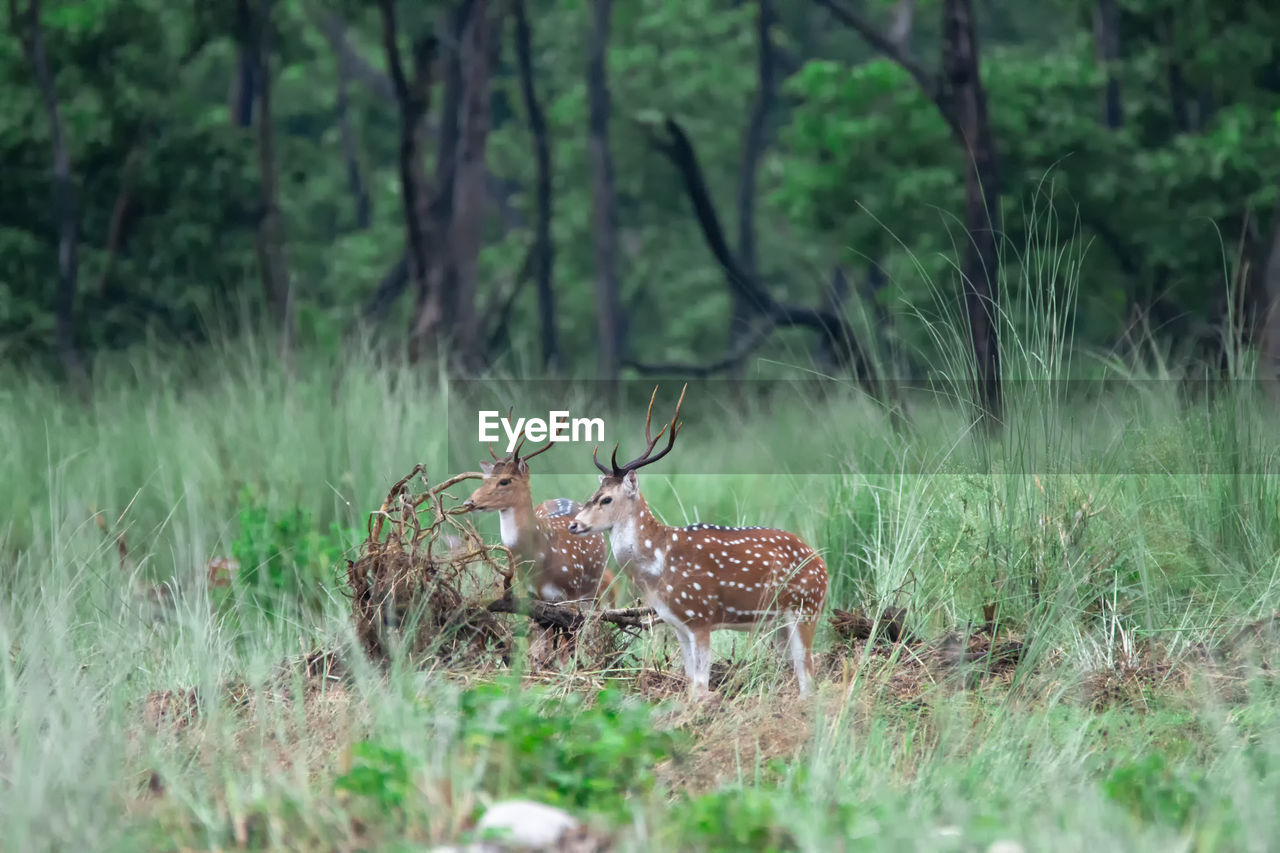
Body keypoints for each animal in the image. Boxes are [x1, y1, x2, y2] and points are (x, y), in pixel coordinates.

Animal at [463, 432, 616, 604]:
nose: (469, 502)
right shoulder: (530, 591)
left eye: (505, 481)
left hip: (592, 586)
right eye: (484, 479)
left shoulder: (573, 588)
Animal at [570, 384, 829, 691]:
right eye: (592, 494)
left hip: (806, 608)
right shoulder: (677, 625)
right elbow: (692, 684)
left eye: (606, 499)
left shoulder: (701, 616)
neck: (658, 566)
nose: (574, 524)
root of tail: (822, 564)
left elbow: (702, 686)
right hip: (779, 623)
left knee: (808, 677)